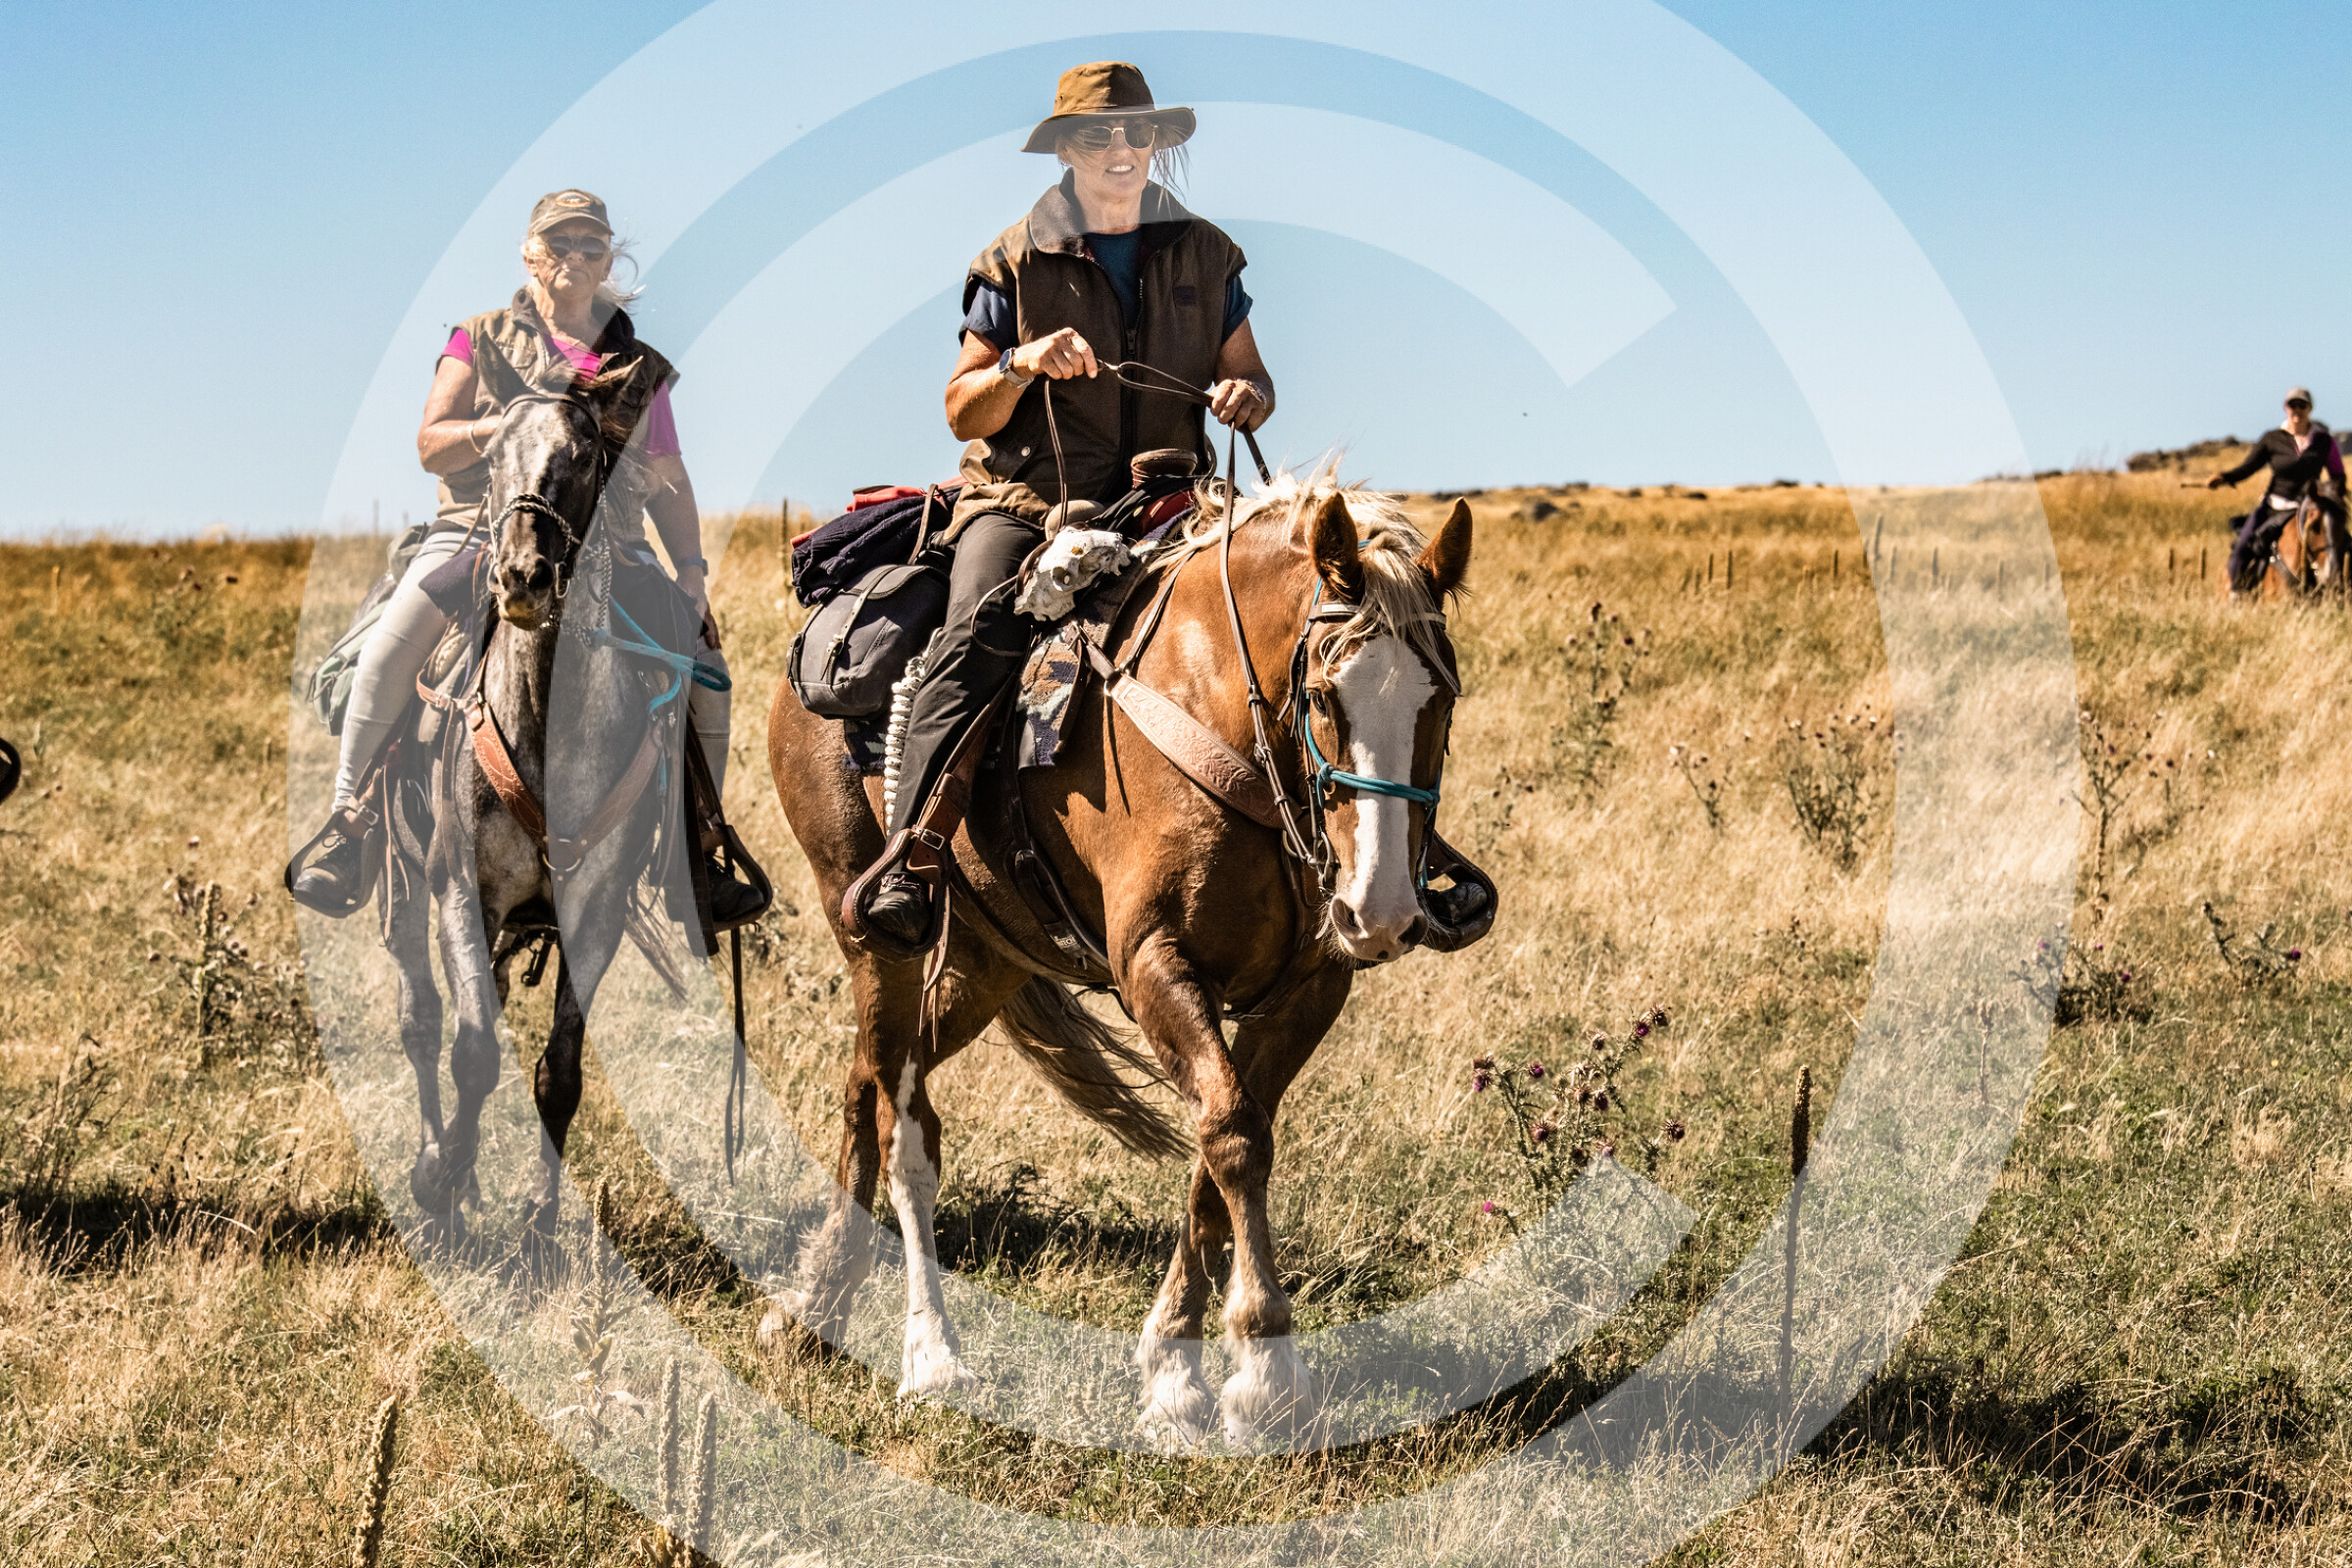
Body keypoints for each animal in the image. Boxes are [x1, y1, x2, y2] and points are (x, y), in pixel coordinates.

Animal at [392, 369, 694, 1258]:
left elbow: (557, 1071)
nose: (523, 576)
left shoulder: (594, 910)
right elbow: (473, 1050)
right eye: (492, 454)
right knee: (424, 1022)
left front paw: (537, 1226)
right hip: (402, 883)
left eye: (587, 454)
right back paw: (443, 1172)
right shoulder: (460, 889)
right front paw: (437, 1180)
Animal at [762, 473, 1474, 1446]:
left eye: (1443, 699)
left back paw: (817, 1301)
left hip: (985, 963)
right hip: (878, 936)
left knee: (861, 1088)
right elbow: (1235, 1134)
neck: (1217, 708)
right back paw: (929, 1355)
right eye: (1326, 697)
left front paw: (1174, 1371)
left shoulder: (1309, 989)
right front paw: (1268, 1375)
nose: (1383, 910)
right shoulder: (1153, 964)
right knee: (904, 1123)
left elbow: (1224, 1140)